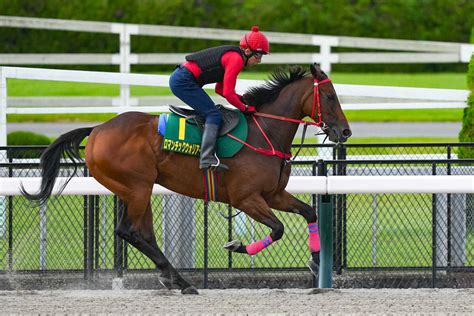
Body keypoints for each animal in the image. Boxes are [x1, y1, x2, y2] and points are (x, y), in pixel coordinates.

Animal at [21, 63, 352, 294]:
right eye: (330, 96)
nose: (345, 131)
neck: (264, 133)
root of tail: (98, 129)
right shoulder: (246, 199)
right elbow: (279, 228)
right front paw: (237, 246)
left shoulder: (273, 194)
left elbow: (309, 212)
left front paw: (316, 261)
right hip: (137, 187)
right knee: (129, 231)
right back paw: (179, 280)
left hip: (137, 190)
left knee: (144, 234)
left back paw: (174, 278)